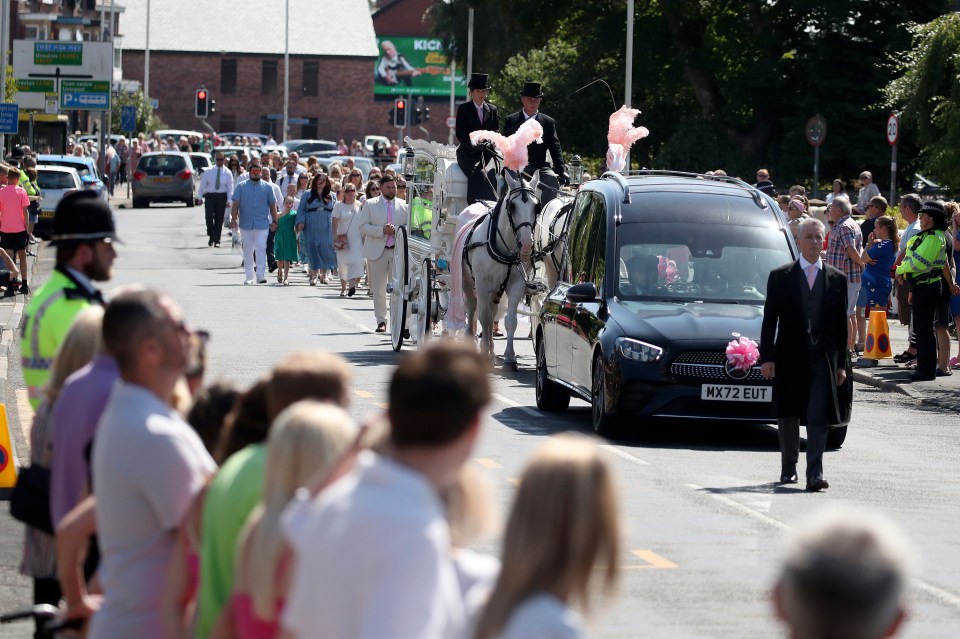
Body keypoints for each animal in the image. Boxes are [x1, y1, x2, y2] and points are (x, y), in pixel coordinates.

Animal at [464, 171, 540, 370]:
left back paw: (492, 350)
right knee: (472, 308)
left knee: (492, 314)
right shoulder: (482, 285)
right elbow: (483, 317)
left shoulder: (516, 285)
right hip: (467, 283)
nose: (526, 246)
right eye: (512, 206)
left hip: (496, 291)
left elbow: (510, 320)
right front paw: (483, 352)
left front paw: (510, 357)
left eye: (537, 207)